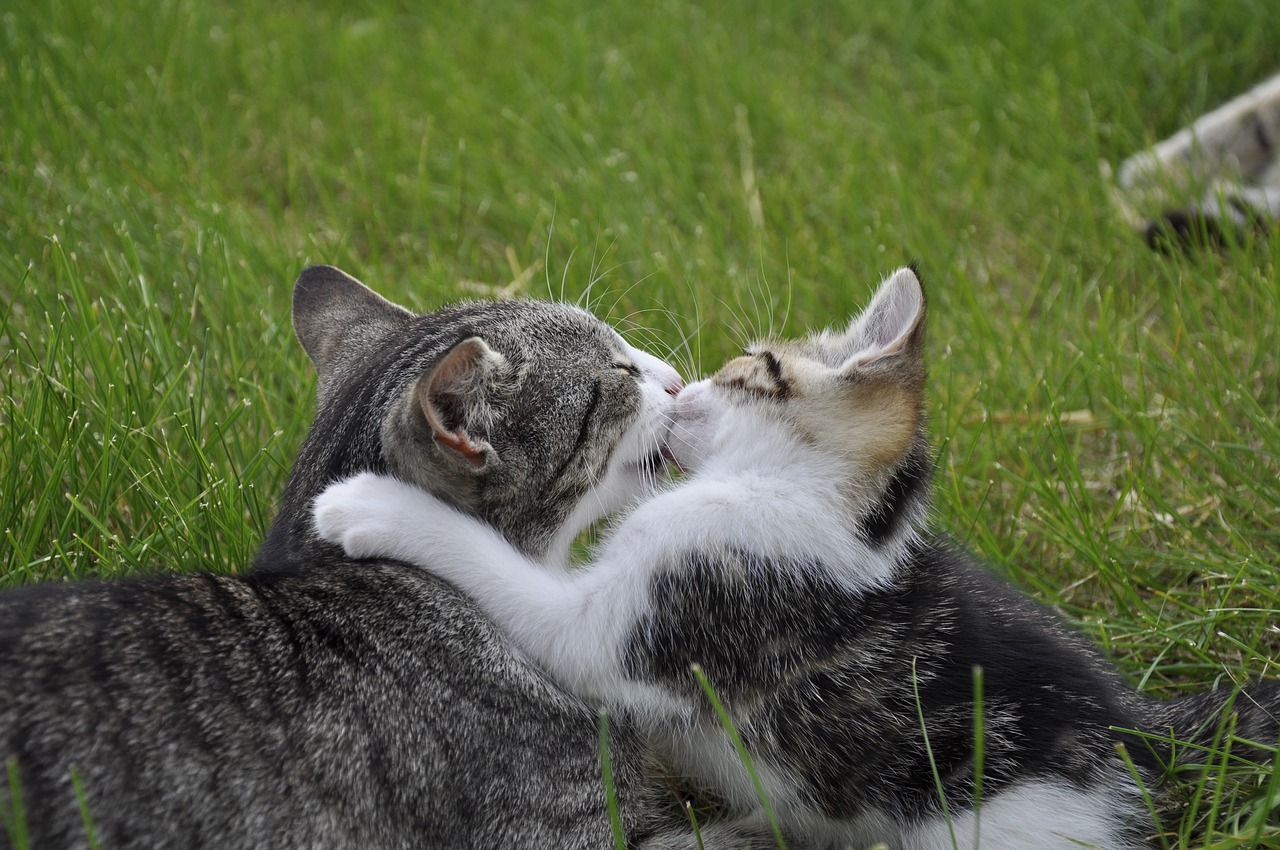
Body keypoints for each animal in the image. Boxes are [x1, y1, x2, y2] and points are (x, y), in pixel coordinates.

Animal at [312, 268, 1280, 850]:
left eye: (747, 366)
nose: (679, 384)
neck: (818, 507)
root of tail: (1149, 732)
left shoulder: (671, 608)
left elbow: (513, 580)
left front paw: (371, 505)